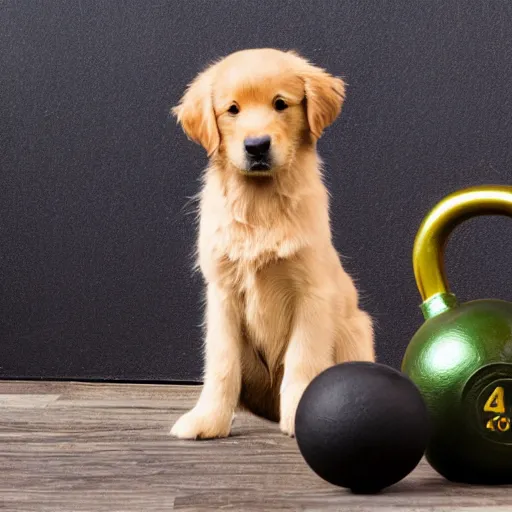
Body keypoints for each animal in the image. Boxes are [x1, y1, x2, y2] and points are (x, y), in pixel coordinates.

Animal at [170, 49, 374, 440]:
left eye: (281, 104)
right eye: (232, 109)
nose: (256, 146)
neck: (260, 201)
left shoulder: (311, 293)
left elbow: (302, 360)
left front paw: (298, 418)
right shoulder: (222, 293)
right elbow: (221, 363)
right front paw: (208, 419)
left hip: (356, 329)